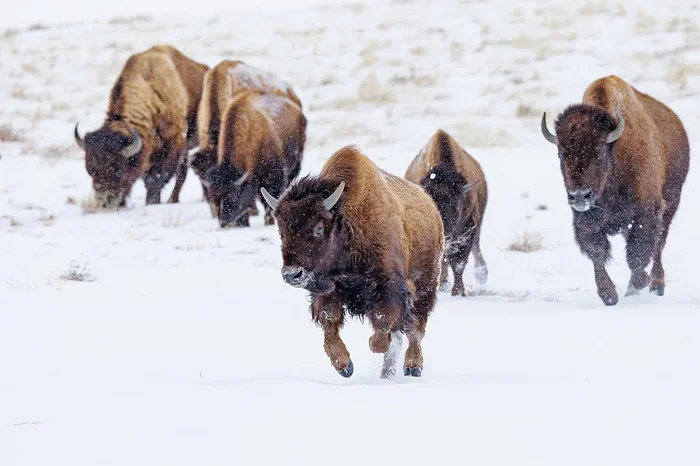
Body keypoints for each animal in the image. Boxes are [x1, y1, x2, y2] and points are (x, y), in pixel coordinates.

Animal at [74, 45, 208, 207]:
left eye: (118, 170)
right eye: (90, 170)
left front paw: (152, 201)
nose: (106, 202)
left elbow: (156, 179)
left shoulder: (172, 146)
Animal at [261, 146, 445, 378]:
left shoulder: (389, 288)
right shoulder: (329, 291)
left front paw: (374, 344)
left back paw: (412, 367)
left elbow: (383, 323)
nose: (292, 274)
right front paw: (344, 366)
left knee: (415, 329)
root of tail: (432, 208)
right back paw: (387, 372)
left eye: (318, 228)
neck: (346, 222)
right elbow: (330, 322)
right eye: (281, 232)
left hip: (426, 288)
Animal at [405, 129, 488, 296]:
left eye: (457, 204)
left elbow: (459, 264)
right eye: (431, 204)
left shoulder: (467, 232)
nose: (446, 235)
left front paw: (459, 292)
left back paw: (481, 274)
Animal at [541, 75, 690, 305]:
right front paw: (609, 295)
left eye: (599, 151)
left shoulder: (646, 212)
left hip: (672, 201)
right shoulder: (587, 221)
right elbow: (597, 252)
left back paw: (657, 285)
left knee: (659, 243)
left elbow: (638, 252)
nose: (579, 196)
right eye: (561, 153)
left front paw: (639, 283)